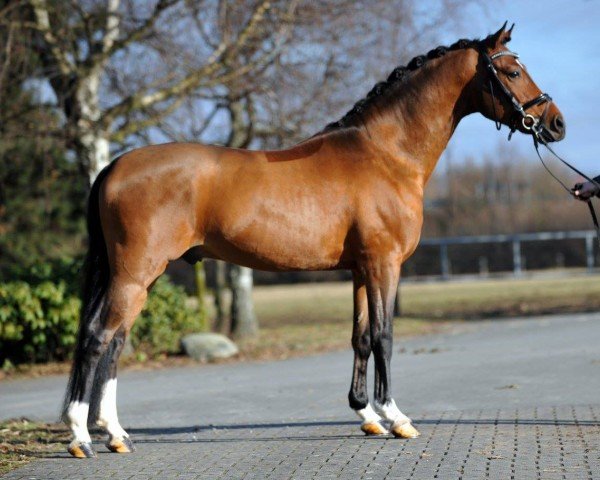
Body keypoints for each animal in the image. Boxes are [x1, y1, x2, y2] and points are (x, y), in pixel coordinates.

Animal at [63, 24, 564, 460]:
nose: (555, 124)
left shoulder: (361, 269)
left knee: (114, 342)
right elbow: (384, 335)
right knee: (99, 338)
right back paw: (83, 436)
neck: (386, 154)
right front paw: (396, 417)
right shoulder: (384, 264)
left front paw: (366, 414)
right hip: (135, 274)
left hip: (138, 278)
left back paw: (114, 433)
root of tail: (114, 167)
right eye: (512, 71)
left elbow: (360, 337)